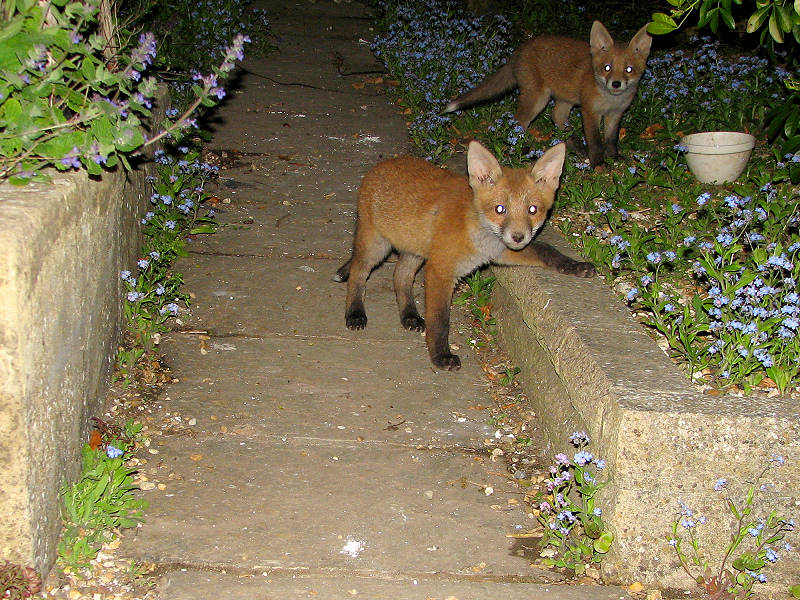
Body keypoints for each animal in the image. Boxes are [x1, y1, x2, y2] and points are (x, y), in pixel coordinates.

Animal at [334, 144, 596, 372]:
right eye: (500, 209)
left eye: (533, 209)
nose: (518, 236)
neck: (477, 232)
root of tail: (382, 164)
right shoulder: (440, 270)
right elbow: (440, 321)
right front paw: (441, 356)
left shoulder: (501, 251)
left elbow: (546, 250)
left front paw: (575, 266)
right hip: (376, 246)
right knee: (358, 272)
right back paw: (355, 312)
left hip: (415, 250)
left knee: (400, 275)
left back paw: (409, 315)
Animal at [440, 21, 652, 166]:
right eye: (607, 68)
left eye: (629, 69)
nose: (616, 84)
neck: (610, 100)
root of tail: (519, 50)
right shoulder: (590, 111)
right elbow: (595, 141)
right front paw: (599, 164)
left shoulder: (616, 114)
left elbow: (610, 139)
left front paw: (614, 157)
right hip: (538, 98)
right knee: (519, 121)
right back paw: (523, 148)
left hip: (564, 98)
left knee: (556, 116)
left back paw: (573, 142)